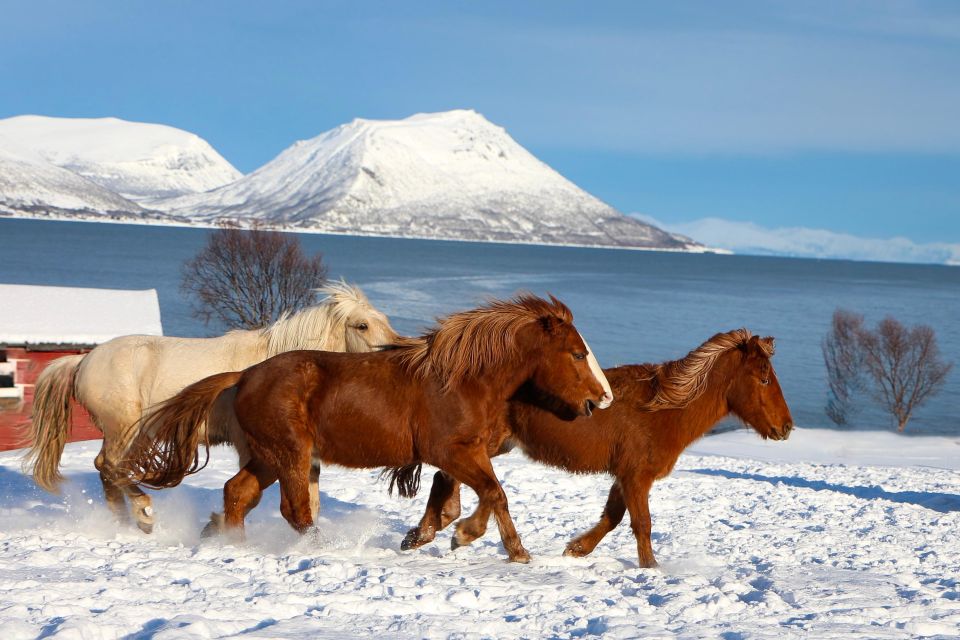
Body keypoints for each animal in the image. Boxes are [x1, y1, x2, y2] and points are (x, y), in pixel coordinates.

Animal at [22, 282, 398, 532]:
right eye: (362, 325)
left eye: (385, 319)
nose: (395, 353)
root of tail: (82, 362)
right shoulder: (254, 447)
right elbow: (251, 493)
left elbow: (311, 498)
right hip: (124, 428)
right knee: (111, 467)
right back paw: (143, 514)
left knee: (109, 472)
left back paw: (124, 522)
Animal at [122, 292, 616, 564]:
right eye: (576, 353)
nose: (601, 398)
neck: (463, 380)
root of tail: (244, 376)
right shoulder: (452, 451)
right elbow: (493, 494)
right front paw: (501, 548)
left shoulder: (464, 452)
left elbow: (461, 498)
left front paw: (435, 535)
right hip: (290, 454)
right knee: (294, 510)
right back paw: (323, 547)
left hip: (266, 456)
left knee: (237, 493)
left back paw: (233, 542)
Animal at [402, 328, 792, 568]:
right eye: (764, 378)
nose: (786, 427)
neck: (664, 410)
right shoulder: (637, 477)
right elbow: (641, 523)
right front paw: (651, 567)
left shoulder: (626, 476)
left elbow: (613, 517)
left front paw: (577, 548)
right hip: (486, 442)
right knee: (474, 484)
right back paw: (457, 532)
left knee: (455, 479)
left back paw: (432, 532)